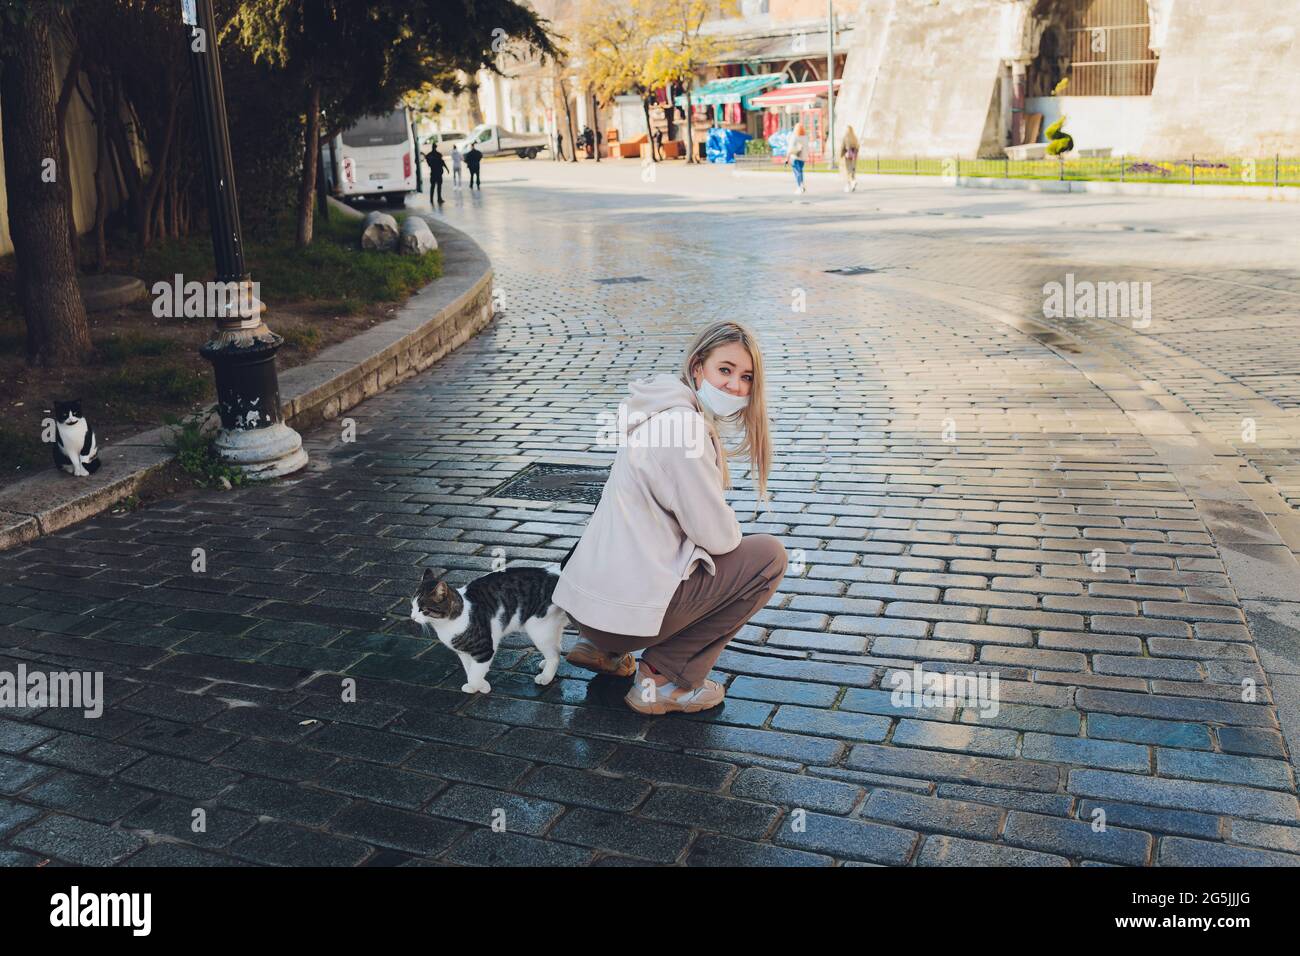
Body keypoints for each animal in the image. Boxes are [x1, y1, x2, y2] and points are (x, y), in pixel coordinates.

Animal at [405, 561, 569, 697]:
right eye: (412, 605)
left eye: (423, 610)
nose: (412, 617)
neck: (448, 624)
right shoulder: (463, 652)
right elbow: (470, 669)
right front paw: (477, 685)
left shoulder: (484, 649)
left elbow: (476, 671)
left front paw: (478, 686)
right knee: (557, 647)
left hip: (539, 628)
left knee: (555, 654)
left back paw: (546, 677)